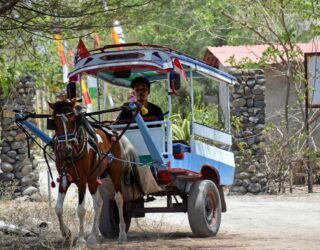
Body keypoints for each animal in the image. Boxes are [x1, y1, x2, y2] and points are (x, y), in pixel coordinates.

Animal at [48, 99, 138, 244]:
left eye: (73, 120)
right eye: (54, 123)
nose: (66, 149)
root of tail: (113, 132)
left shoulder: (82, 180)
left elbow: (80, 210)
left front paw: (80, 239)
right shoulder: (64, 178)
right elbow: (58, 208)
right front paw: (66, 233)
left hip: (114, 171)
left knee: (119, 198)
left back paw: (122, 234)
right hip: (93, 178)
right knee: (99, 203)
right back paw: (92, 235)